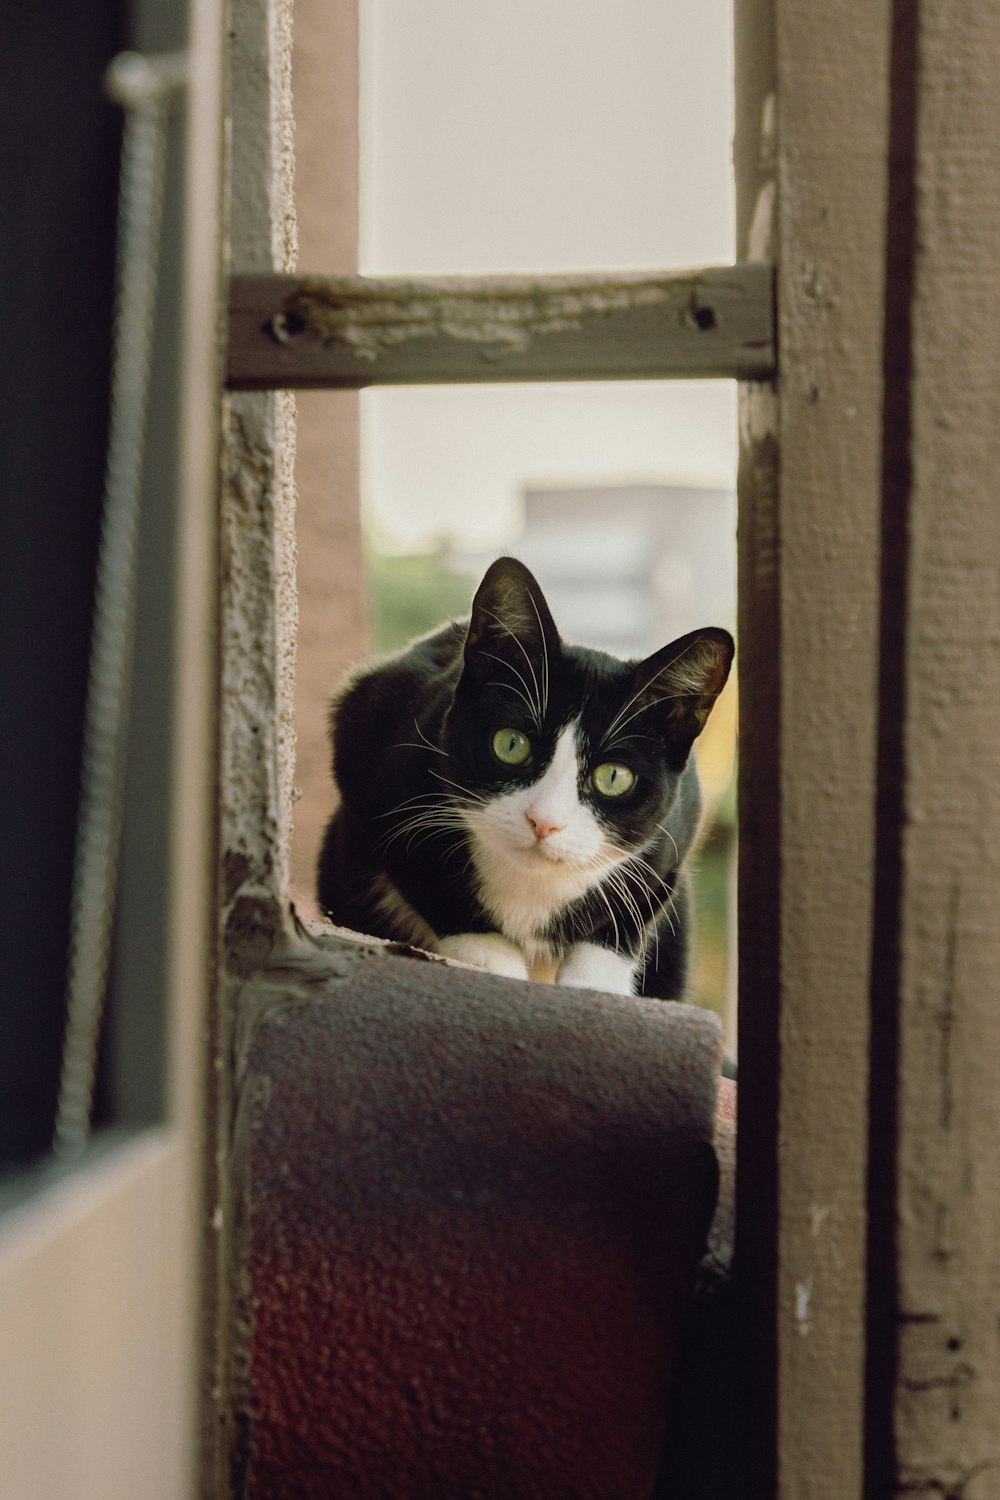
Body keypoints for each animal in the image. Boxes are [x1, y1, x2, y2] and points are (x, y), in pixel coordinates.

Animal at [320, 558, 734, 1002]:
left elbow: (634, 911)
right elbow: (416, 866)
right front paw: (491, 955)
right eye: (511, 744)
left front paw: (595, 983)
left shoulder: (676, 833)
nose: (543, 821)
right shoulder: (371, 747)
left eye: (614, 776)